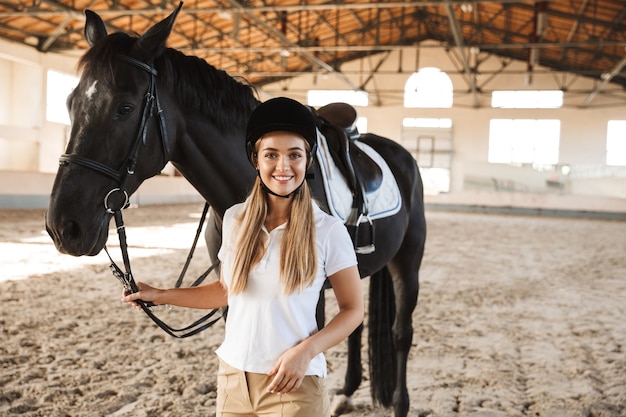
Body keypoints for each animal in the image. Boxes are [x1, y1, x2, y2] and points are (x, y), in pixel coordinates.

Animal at [44, 4, 424, 414]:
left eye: (125, 108)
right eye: (69, 103)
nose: (63, 227)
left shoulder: (313, 296)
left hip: (407, 259)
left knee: (401, 333)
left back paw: (400, 403)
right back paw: (347, 392)